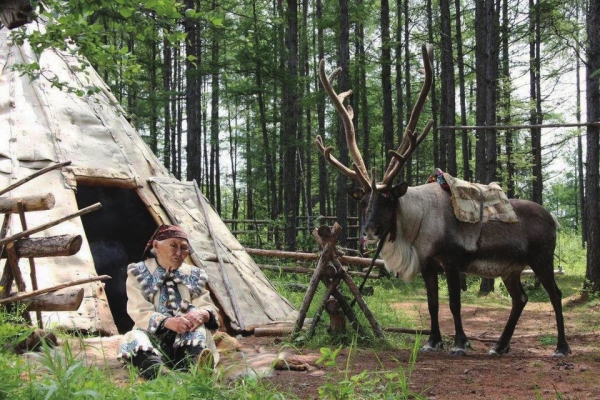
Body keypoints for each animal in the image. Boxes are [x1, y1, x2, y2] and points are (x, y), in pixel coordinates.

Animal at [315, 44, 570, 358]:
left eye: (387, 200)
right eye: (363, 202)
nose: (370, 231)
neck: (416, 227)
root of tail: (553, 218)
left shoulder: (451, 261)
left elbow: (454, 304)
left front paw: (460, 343)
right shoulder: (428, 266)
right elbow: (432, 304)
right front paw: (433, 342)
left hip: (541, 258)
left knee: (555, 294)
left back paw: (561, 347)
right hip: (510, 267)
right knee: (520, 298)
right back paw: (499, 346)